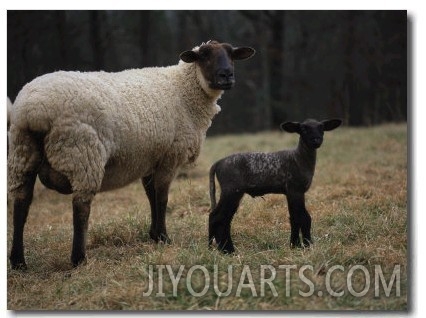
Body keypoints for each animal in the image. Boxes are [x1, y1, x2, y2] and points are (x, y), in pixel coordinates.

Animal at [8, 39, 255, 268]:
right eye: (203, 56)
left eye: (231, 54)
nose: (227, 75)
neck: (183, 90)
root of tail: (35, 110)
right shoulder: (169, 156)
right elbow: (162, 197)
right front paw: (164, 237)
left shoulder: (150, 158)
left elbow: (150, 195)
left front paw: (154, 236)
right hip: (82, 154)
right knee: (80, 208)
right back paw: (79, 259)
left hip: (23, 154)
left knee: (21, 203)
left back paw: (18, 261)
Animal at [208, 118, 342, 253]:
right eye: (303, 129)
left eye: (322, 128)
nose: (316, 140)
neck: (298, 159)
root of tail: (218, 163)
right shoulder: (295, 190)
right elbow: (303, 218)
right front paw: (306, 244)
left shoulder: (290, 192)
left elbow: (294, 218)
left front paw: (295, 245)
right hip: (231, 190)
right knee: (218, 217)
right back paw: (227, 250)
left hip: (232, 192)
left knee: (222, 219)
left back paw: (218, 248)